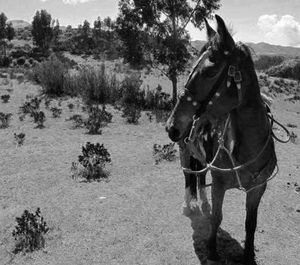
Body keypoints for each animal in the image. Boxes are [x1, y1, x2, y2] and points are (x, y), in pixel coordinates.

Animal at [165, 14, 278, 264]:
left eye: (209, 72)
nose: (171, 126)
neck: (246, 148)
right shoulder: (219, 184)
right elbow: (217, 217)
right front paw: (212, 250)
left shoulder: (258, 188)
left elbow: (250, 224)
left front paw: (248, 256)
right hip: (185, 152)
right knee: (188, 177)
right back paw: (188, 205)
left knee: (199, 176)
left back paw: (203, 202)